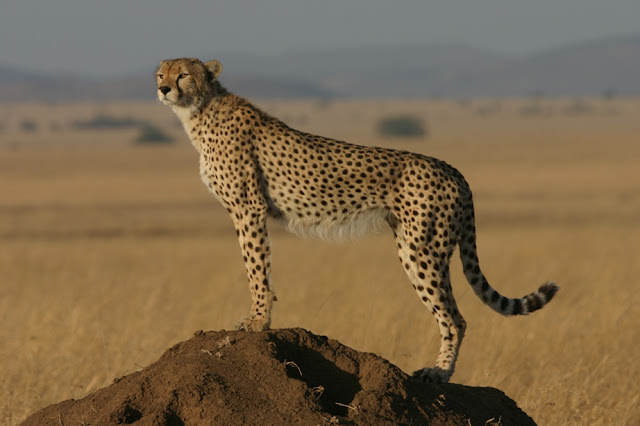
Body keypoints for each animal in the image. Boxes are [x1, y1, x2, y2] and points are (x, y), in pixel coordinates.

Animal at [158, 57, 556, 382]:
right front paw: (260, 318)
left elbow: (256, 267)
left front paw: (257, 321)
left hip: (425, 249)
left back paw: (439, 373)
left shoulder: (249, 208)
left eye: (184, 75)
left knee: (455, 319)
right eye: (162, 73)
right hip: (413, 248)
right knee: (451, 312)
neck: (200, 111)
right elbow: (257, 266)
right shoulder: (247, 210)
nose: (163, 89)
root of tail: (452, 169)